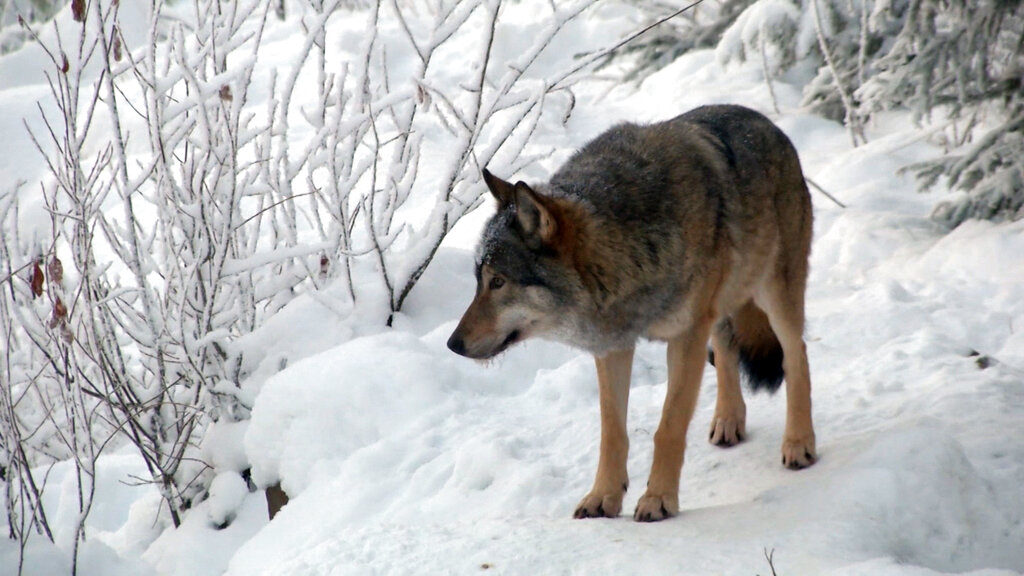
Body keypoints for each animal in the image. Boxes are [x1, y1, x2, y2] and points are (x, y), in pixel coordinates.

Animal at [447, 104, 816, 522]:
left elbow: (668, 426)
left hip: (774, 294)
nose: (453, 344)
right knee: (726, 349)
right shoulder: (613, 347)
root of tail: (766, 122)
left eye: (498, 282)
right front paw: (603, 497)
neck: (627, 251)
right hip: (722, 307)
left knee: (796, 354)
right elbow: (612, 432)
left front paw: (658, 500)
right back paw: (728, 421)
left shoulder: (685, 336)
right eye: (479, 280)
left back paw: (799, 443)